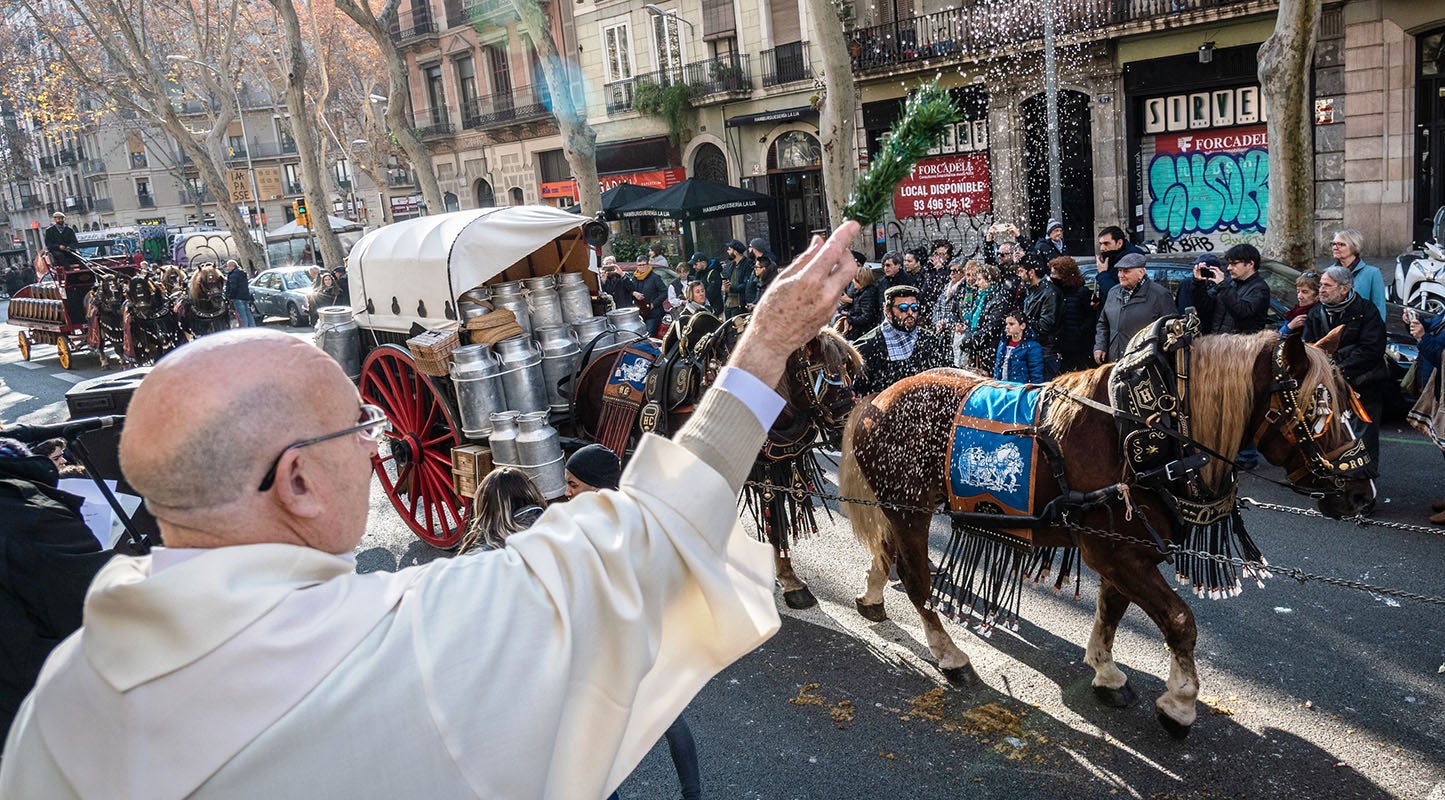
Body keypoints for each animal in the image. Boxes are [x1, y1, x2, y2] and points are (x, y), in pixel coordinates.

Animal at [575, 311, 861, 603]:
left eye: (850, 372)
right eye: (827, 376)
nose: (846, 431)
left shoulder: (769, 467)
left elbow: (775, 521)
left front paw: (789, 579)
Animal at [843, 327, 1375, 733]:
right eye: (1319, 409)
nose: (1361, 492)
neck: (1152, 434)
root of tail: (875, 398)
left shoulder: (1127, 548)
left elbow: (1113, 610)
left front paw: (1105, 671)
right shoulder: (1116, 551)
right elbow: (1179, 621)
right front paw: (1180, 703)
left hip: (905, 506)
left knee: (889, 551)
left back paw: (872, 596)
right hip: (910, 507)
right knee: (916, 578)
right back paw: (951, 657)